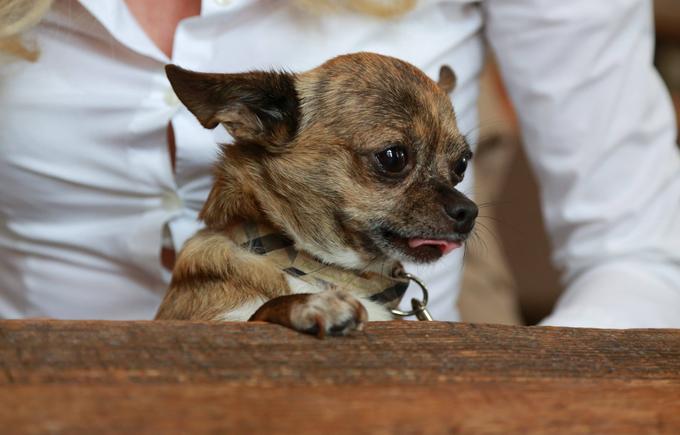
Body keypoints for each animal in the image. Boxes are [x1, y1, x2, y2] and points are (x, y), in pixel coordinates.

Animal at [157, 53, 478, 338]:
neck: (325, 271)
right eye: (393, 157)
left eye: (462, 165)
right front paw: (312, 305)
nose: (469, 211)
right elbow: (259, 313)